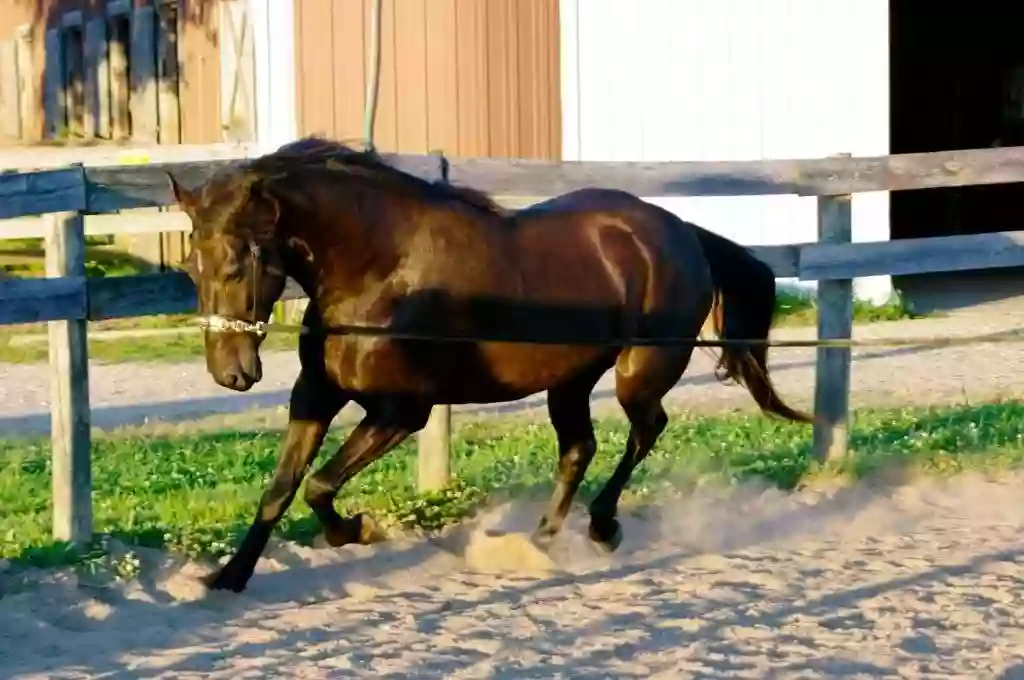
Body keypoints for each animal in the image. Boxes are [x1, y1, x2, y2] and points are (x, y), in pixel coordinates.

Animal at [167, 137, 806, 589]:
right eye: (192, 267)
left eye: (237, 262)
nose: (232, 374)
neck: (379, 271)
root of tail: (681, 232)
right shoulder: (317, 394)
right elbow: (281, 488)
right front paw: (228, 578)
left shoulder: (403, 411)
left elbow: (319, 486)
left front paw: (360, 529)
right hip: (570, 381)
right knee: (580, 448)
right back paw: (541, 540)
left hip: (639, 372)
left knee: (645, 430)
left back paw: (602, 526)